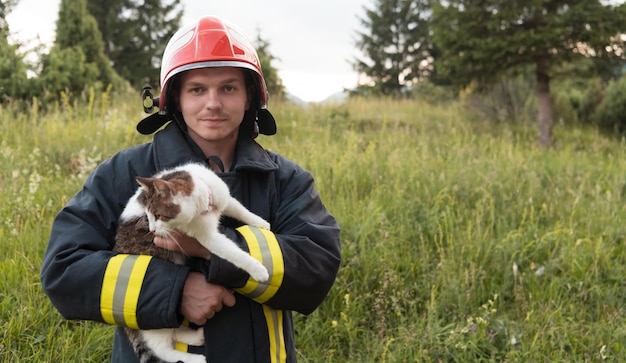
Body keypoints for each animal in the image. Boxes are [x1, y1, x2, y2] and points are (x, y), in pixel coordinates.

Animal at [113, 163, 270, 363]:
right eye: (147, 216)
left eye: (157, 215)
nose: (152, 230)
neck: (203, 202)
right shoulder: (207, 237)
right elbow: (234, 253)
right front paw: (257, 270)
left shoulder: (222, 196)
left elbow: (240, 209)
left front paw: (261, 223)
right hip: (151, 322)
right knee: (162, 349)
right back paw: (194, 358)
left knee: (174, 331)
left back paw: (197, 336)